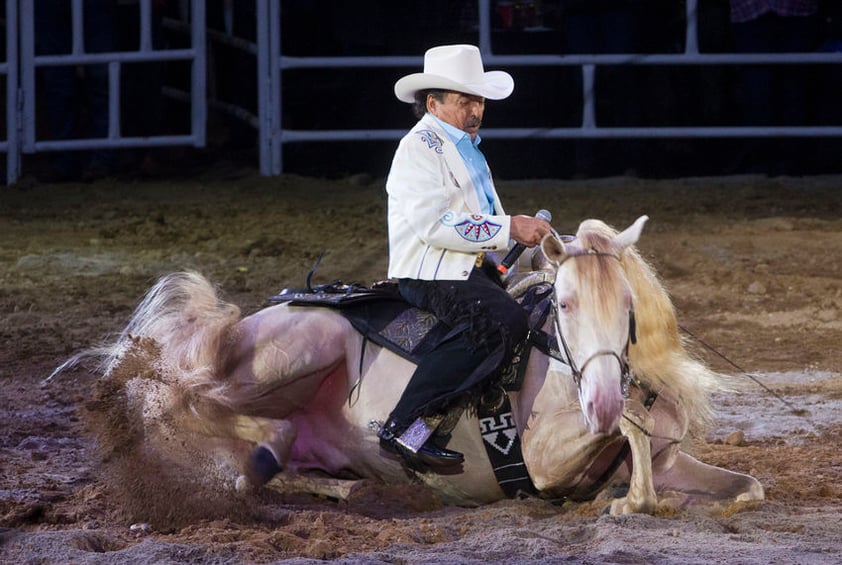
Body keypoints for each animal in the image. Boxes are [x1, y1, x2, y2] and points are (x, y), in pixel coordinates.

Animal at [79, 215, 760, 512]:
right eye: (565, 302)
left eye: (627, 305)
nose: (602, 399)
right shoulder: (538, 462)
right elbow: (631, 442)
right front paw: (627, 500)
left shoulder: (668, 457)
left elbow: (745, 487)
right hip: (296, 352)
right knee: (200, 400)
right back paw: (273, 447)